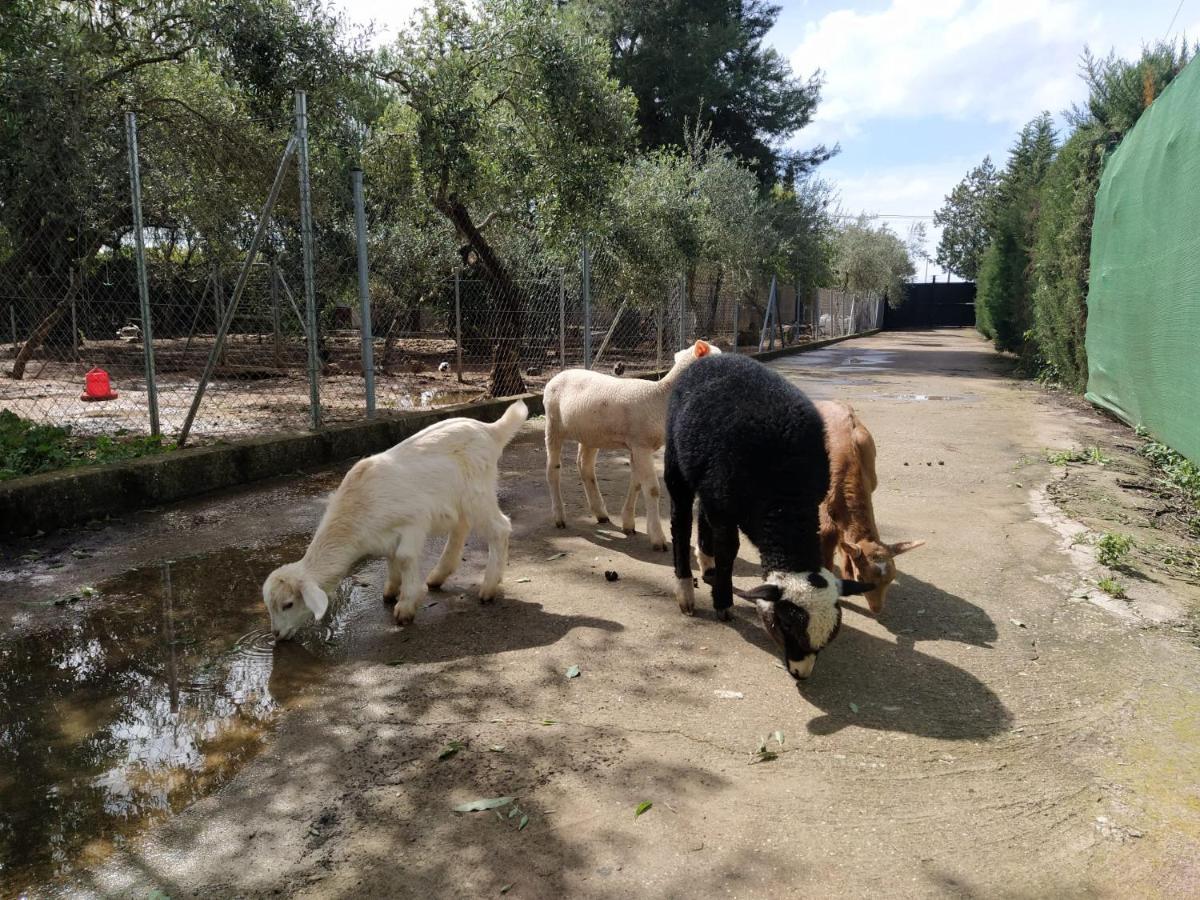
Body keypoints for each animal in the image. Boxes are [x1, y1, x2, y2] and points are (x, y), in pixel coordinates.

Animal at [265, 400, 528, 643]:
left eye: (288, 604)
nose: (276, 635)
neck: (357, 511)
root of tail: (490, 429)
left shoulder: (414, 521)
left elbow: (404, 557)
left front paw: (406, 606)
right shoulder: (386, 534)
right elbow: (391, 558)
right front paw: (391, 590)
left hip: (478, 491)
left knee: (500, 528)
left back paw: (488, 588)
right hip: (458, 500)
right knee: (461, 526)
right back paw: (438, 575)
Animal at [544, 340, 720, 549]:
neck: (660, 397)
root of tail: (556, 377)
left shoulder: (639, 446)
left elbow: (636, 484)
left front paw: (628, 524)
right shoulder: (641, 445)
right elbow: (651, 489)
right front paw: (658, 539)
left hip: (591, 434)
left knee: (585, 467)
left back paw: (601, 513)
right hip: (553, 423)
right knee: (553, 470)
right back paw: (559, 517)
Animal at [667, 355, 873, 681]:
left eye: (832, 632)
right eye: (786, 624)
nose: (801, 673)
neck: (785, 498)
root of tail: (716, 357)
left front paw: (716, 580)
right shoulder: (724, 503)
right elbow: (729, 551)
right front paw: (723, 602)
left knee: (702, 518)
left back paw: (706, 565)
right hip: (678, 463)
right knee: (681, 519)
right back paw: (685, 588)